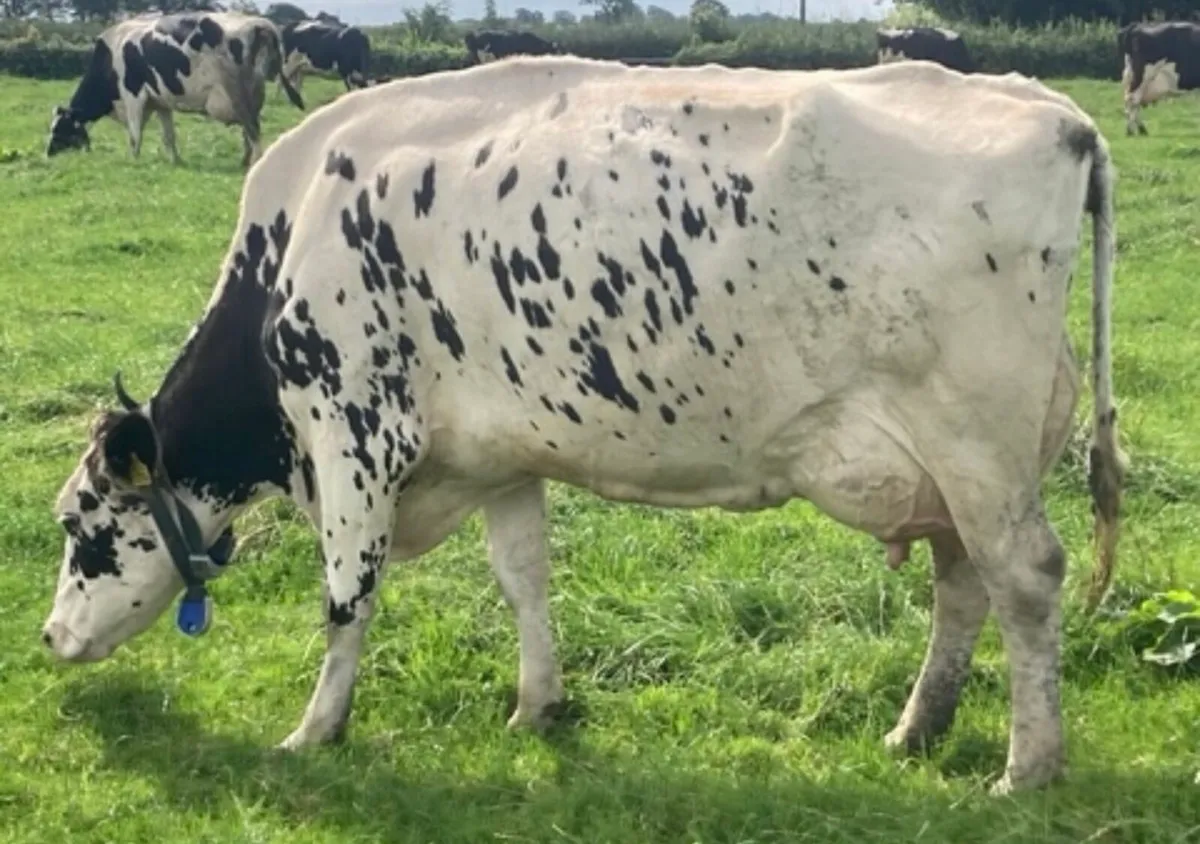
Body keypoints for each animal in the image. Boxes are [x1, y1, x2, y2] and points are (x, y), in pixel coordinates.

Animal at [41, 56, 1124, 797]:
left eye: (79, 521)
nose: (51, 635)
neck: (290, 244)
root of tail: (1058, 115)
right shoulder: (501, 451)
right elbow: (524, 579)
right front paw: (537, 705)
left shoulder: (355, 433)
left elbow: (347, 596)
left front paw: (315, 731)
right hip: (950, 465)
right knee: (962, 584)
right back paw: (916, 730)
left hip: (977, 443)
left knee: (1027, 579)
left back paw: (1028, 766)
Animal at [46, 12, 304, 168]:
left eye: (59, 128)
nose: (47, 153)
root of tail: (259, 23)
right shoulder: (160, 102)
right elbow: (168, 135)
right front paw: (176, 161)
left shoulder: (133, 97)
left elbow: (134, 135)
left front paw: (133, 161)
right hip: (252, 95)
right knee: (248, 132)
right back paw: (244, 161)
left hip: (237, 94)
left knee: (253, 130)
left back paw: (254, 164)